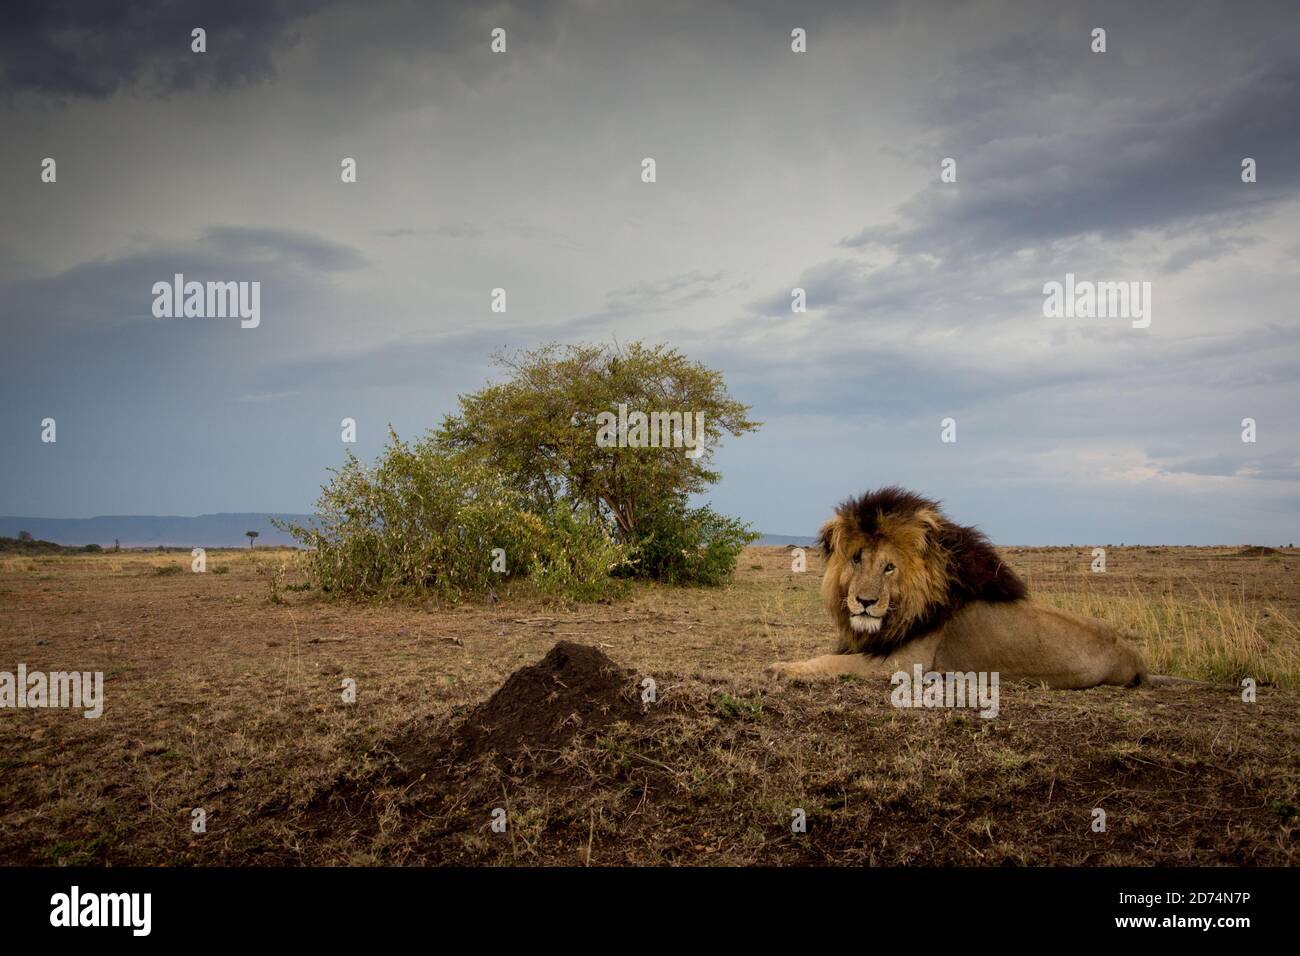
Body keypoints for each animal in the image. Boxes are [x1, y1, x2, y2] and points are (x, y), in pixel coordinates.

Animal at [766, 487, 1152, 688]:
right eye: (857, 560)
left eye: (890, 567)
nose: (865, 601)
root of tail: (1136, 658)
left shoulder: (907, 663)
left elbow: (829, 662)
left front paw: (781, 668)